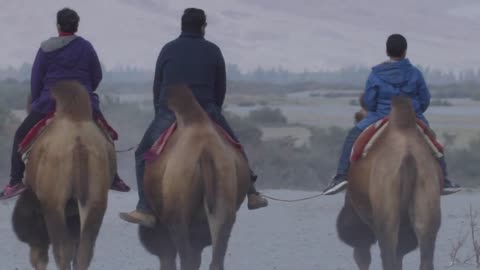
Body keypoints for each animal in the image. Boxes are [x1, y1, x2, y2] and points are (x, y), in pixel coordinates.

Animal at [336, 95, 440, 270]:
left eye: (357, 116)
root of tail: (408, 156)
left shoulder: (358, 217)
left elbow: (362, 255)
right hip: (427, 202)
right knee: (424, 252)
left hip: (386, 214)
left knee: (387, 255)